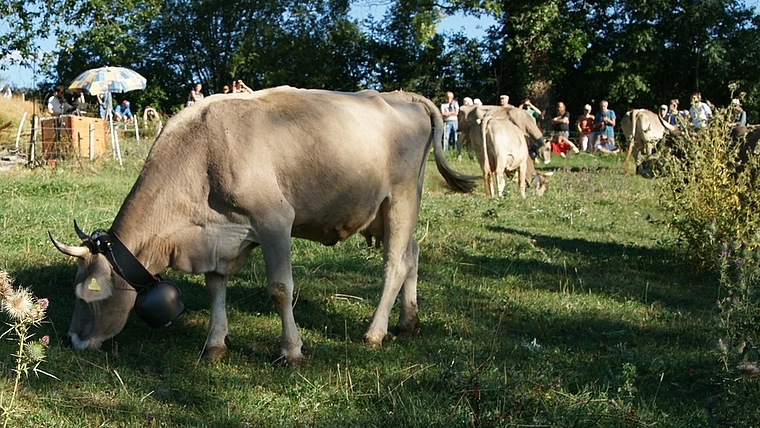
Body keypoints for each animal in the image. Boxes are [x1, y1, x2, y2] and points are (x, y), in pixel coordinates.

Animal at [49, 86, 476, 364]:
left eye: (86, 295)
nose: (73, 340)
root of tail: (403, 95)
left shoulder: (275, 222)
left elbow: (280, 290)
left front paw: (292, 350)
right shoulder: (217, 236)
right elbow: (215, 287)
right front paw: (215, 343)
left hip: (402, 195)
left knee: (395, 265)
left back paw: (375, 333)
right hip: (386, 210)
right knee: (412, 253)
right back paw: (408, 321)